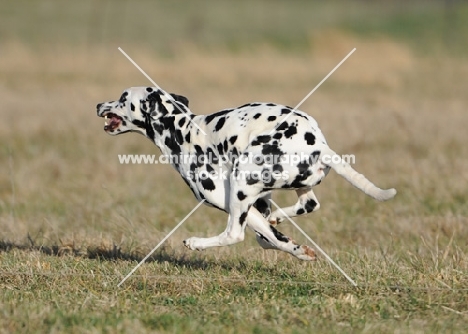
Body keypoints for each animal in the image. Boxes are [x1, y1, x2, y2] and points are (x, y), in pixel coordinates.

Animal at [98, 87, 394, 260]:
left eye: (123, 99)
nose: (99, 105)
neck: (182, 130)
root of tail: (319, 145)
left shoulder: (228, 200)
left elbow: (257, 235)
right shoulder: (258, 202)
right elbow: (272, 237)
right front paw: (299, 251)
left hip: (241, 186)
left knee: (234, 234)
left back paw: (196, 242)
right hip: (288, 186)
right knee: (308, 205)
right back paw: (279, 219)